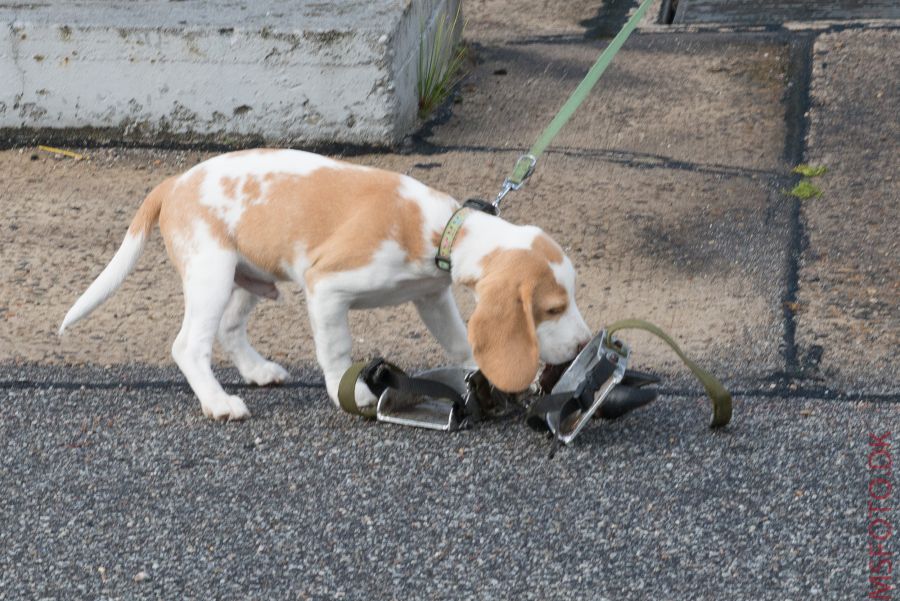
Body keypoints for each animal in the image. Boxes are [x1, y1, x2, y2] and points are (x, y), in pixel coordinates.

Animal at [59, 149, 596, 422]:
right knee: (189, 345)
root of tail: (173, 184)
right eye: (552, 308)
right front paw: (350, 394)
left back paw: (257, 371)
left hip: (248, 277)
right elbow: (337, 352)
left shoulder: (432, 297)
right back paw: (218, 403)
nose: (583, 345)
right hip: (212, 271)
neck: (441, 228)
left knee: (229, 329)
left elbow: (461, 341)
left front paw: (477, 374)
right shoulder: (327, 288)